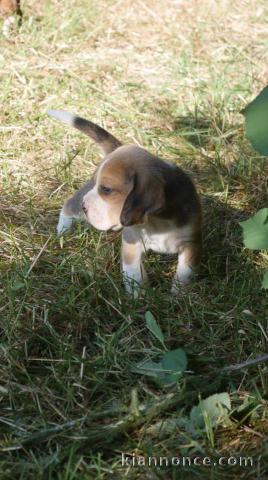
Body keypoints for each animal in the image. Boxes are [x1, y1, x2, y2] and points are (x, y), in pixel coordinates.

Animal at [48, 110, 202, 294]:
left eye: (106, 189)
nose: (85, 206)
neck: (157, 222)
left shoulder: (190, 243)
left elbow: (184, 273)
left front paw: (179, 295)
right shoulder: (131, 243)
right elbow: (134, 274)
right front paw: (140, 297)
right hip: (82, 198)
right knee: (69, 205)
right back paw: (63, 230)